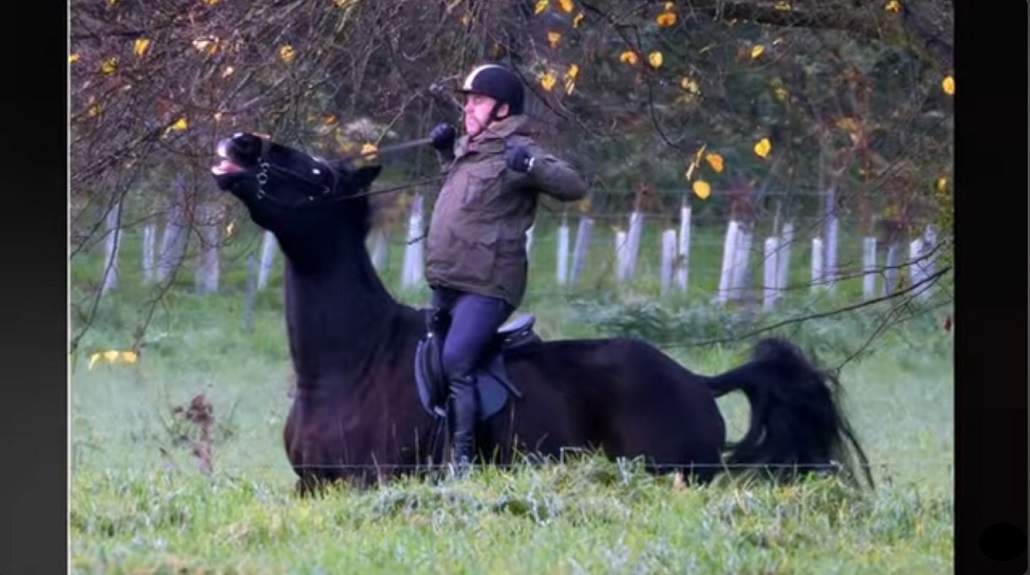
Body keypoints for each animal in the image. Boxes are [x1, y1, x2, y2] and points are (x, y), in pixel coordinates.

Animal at [209, 132, 873, 493]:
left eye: (318, 175)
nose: (241, 142)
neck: (352, 365)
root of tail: (695, 381)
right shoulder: (312, 488)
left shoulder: (366, 481)